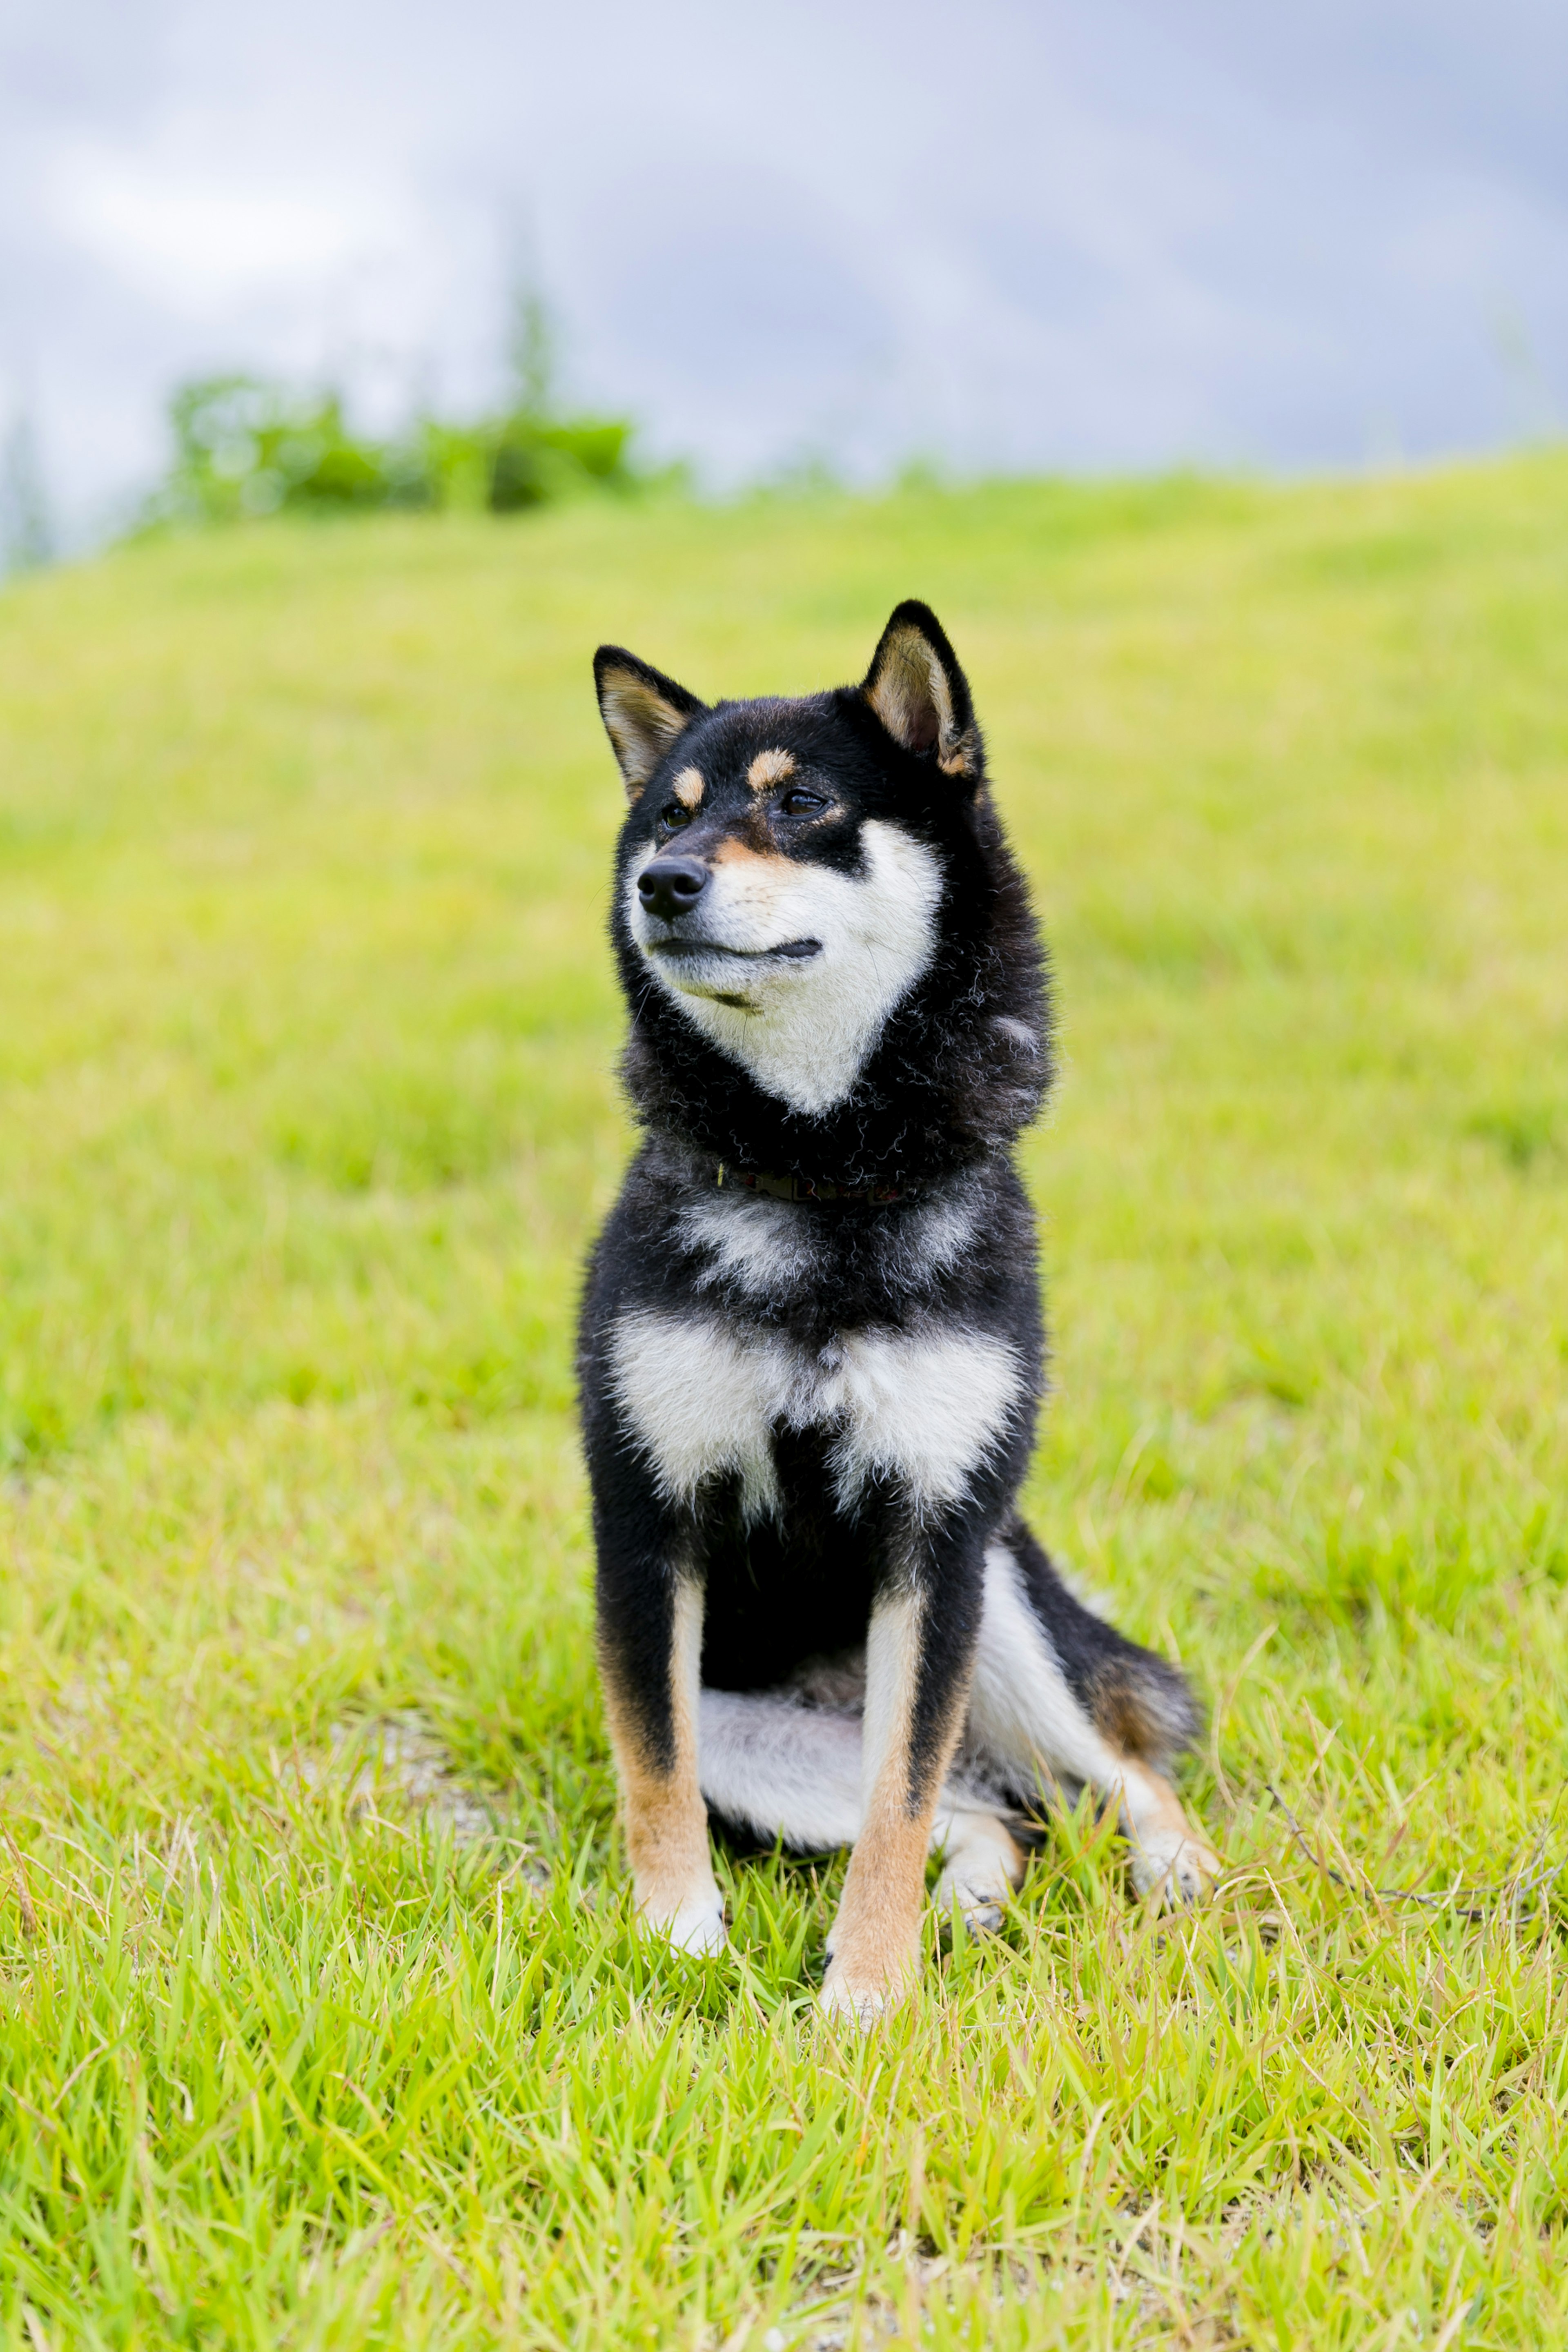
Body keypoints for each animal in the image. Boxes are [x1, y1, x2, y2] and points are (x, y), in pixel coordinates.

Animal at [581, 597, 1222, 2013]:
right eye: (666, 816)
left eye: (803, 802)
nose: (664, 884)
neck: (825, 1177)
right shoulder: (647, 1519)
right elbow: (654, 1775)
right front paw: (675, 1938)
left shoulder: (937, 1536)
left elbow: (901, 1797)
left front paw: (866, 1999)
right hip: (762, 1739)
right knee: (993, 1814)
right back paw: (973, 1901)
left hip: (1001, 1604)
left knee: (1096, 1773)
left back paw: (1178, 1870)